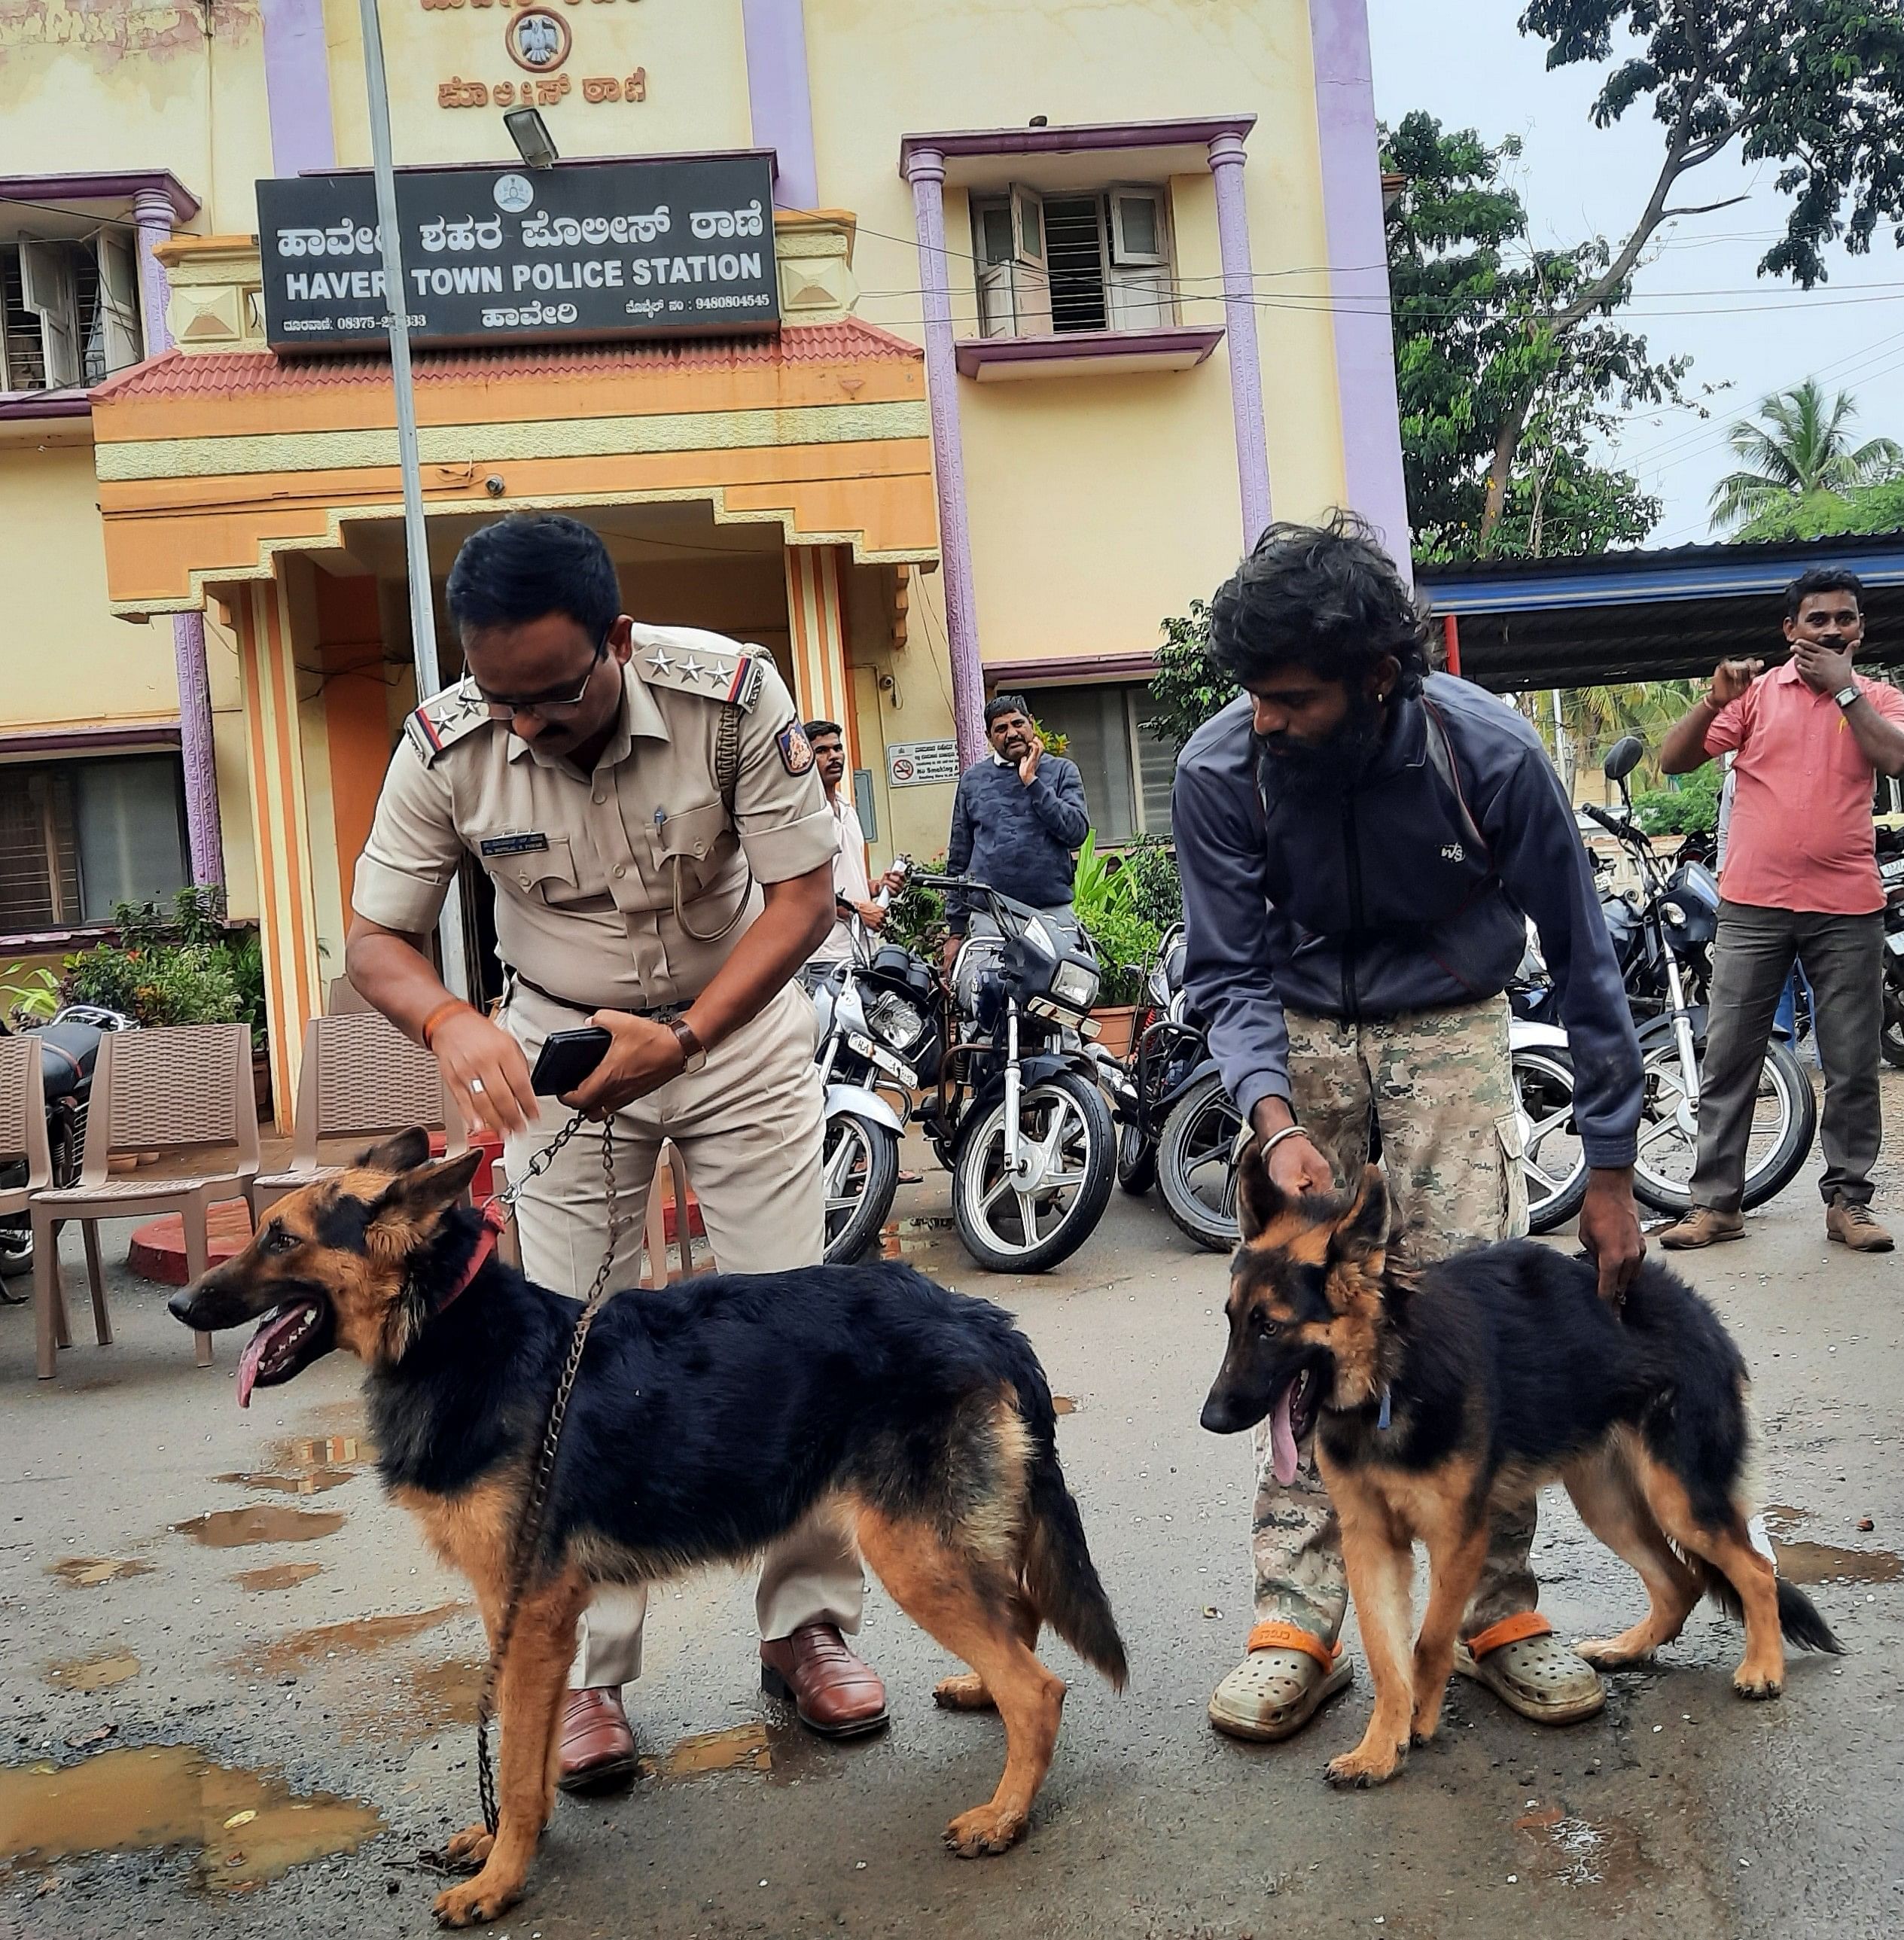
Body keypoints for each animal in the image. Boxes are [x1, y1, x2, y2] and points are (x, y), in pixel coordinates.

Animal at [170, 1132, 1126, 1924]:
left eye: (282, 1238)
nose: (180, 1304)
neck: (448, 1326)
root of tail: (981, 1317)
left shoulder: (533, 1611)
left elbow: (515, 1759)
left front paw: (501, 1881)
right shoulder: (525, 1617)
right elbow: (532, 1748)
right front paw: (506, 1845)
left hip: (911, 1553)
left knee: (1041, 1688)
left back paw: (1004, 1815)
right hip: (947, 1545)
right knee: (1018, 1618)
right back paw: (982, 1699)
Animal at [1196, 1141, 1832, 1792]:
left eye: (1270, 1327)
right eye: (1232, 1320)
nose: (1211, 1417)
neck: (1391, 1375)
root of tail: (1693, 1307)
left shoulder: (1458, 1537)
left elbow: (1427, 1642)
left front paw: (1419, 1720)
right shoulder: (1370, 1542)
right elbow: (1384, 1653)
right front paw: (1379, 1746)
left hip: (1679, 1499)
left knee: (1754, 1568)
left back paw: (1762, 1667)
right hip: (1606, 1504)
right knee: (1681, 1581)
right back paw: (1629, 1648)